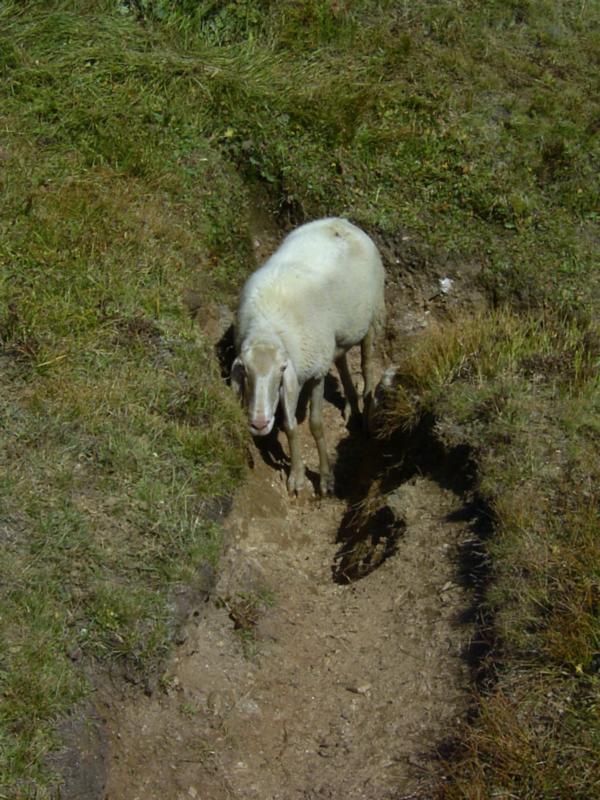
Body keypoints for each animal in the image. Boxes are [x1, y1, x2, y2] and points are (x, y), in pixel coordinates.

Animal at [231, 217, 385, 496]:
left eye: (281, 369)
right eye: (245, 372)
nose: (259, 424)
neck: (268, 328)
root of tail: (340, 221)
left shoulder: (315, 373)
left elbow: (315, 425)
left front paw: (325, 478)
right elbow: (290, 426)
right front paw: (297, 475)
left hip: (371, 316)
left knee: (367, 363)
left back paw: (367, 410)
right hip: (336, 337)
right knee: (342, 360)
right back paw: (352, 403)